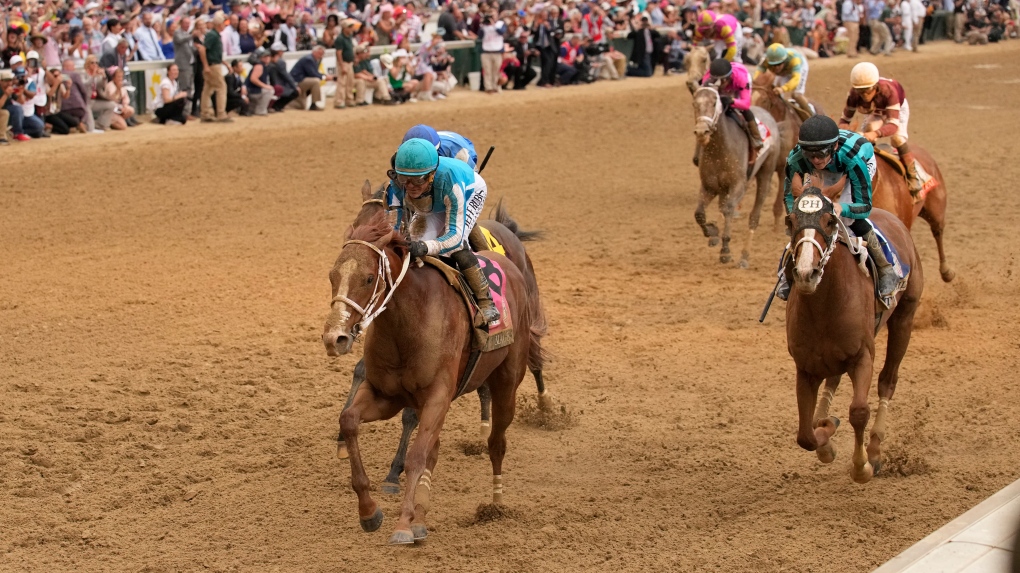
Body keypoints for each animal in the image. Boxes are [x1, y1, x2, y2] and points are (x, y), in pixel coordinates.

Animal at [322, 206, 538, 542]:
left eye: (369, 278)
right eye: (333, 276)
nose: (335, 338)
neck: (408, 324)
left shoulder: (437, 396)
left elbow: (417, 455)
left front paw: (402, 524)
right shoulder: (386, 395)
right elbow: (349, 421)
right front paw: (370, 512)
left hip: (506, 383)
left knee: (496, 441)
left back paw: (495, 503)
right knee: (436, 449)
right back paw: (423, 517)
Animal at [779, 187, 926, 481]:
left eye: (830, 221)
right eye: (790, 221)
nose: (806, 273)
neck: (824, 305)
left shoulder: (862, 356)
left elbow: (858, 412)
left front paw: (862, 467)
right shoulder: (806, 367)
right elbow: (805, 436)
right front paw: (826, 434)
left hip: (905, 316)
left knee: (887, 381)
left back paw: (876, 451)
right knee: (833, 380)